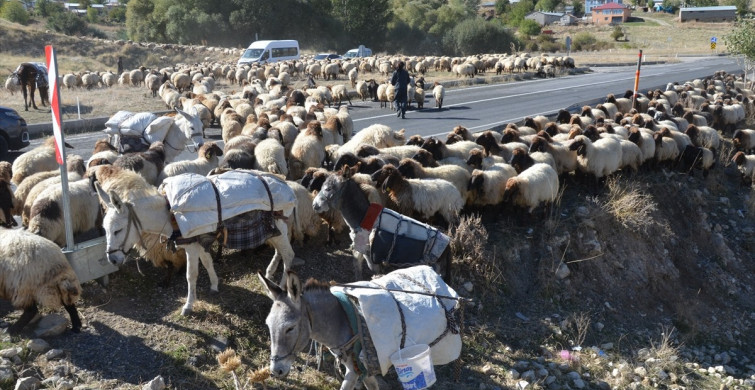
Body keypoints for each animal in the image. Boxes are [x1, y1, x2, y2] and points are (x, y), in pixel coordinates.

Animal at [91, 166, 296, 316]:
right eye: (105, 230)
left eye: (117, 230)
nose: (112, 260)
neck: (169, 213)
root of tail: (286, 184)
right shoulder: (200, 242)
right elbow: (207, 262)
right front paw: (214, 285)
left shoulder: (190, 245)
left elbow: (191, 275)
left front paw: (188, 306)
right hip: (275, 230)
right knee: (280, 252)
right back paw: (269, 274)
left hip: (278, 226)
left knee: (289, 254)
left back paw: (282, 287)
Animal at [312, 165, 448, 280]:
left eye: (328, 188)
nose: (314, 205)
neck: (363, 216)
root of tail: (447, 245)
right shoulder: (361, 250)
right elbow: (358, 268)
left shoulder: (370, 255)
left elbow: (374, 270)